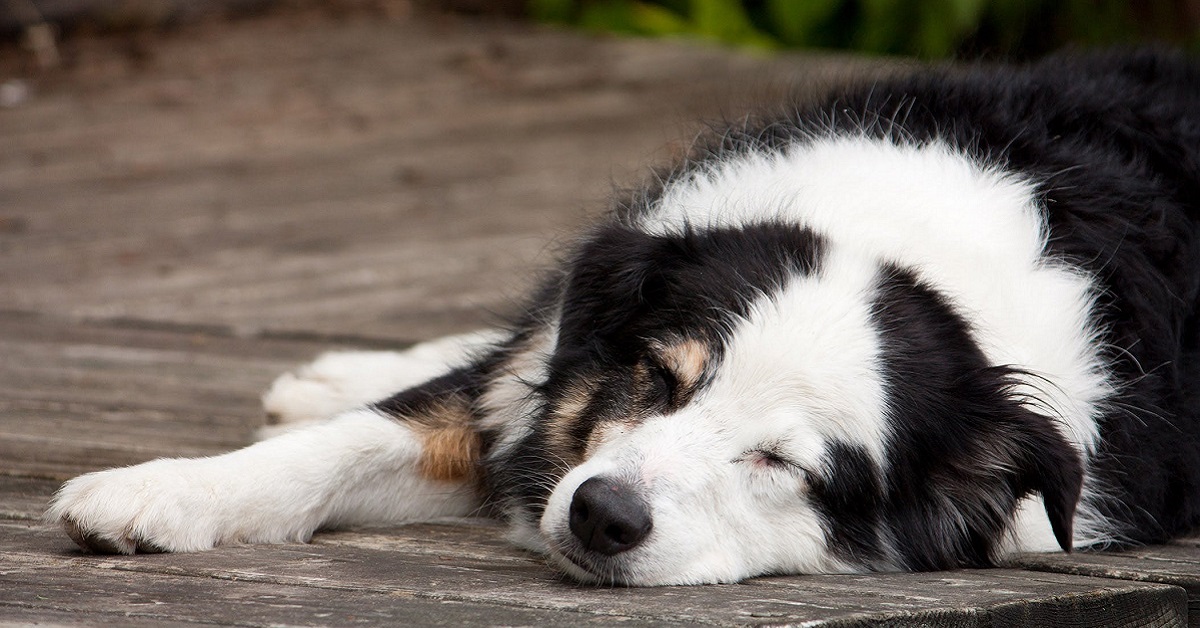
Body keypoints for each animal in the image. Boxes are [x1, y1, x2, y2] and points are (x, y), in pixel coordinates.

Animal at [44, 51, 1200, 588]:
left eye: (785, 462)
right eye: (661, 378)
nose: (603, 515)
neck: (909, 237)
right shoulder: (548, 390)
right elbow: (348, 443)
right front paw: (164, 492)